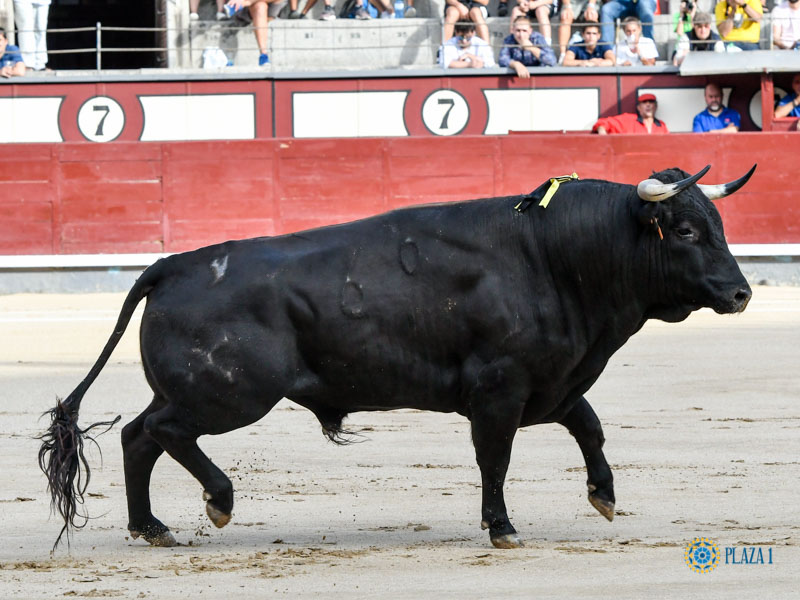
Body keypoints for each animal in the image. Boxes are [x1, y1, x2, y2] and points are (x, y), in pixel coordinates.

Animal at [39, 164, 756, 548]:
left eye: (718, 226)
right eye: (685, 230)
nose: (741, 292)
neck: (553, 257)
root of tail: (174, 263)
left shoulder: (550, 384)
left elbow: (590, 426)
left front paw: (603, 496)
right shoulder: (498, 391)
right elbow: (495, 460)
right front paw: (501, 527)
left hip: (191, 389)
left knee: (138, 435)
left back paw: (151, 526)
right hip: (229, 394)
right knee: (163, 432)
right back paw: (219, 500)